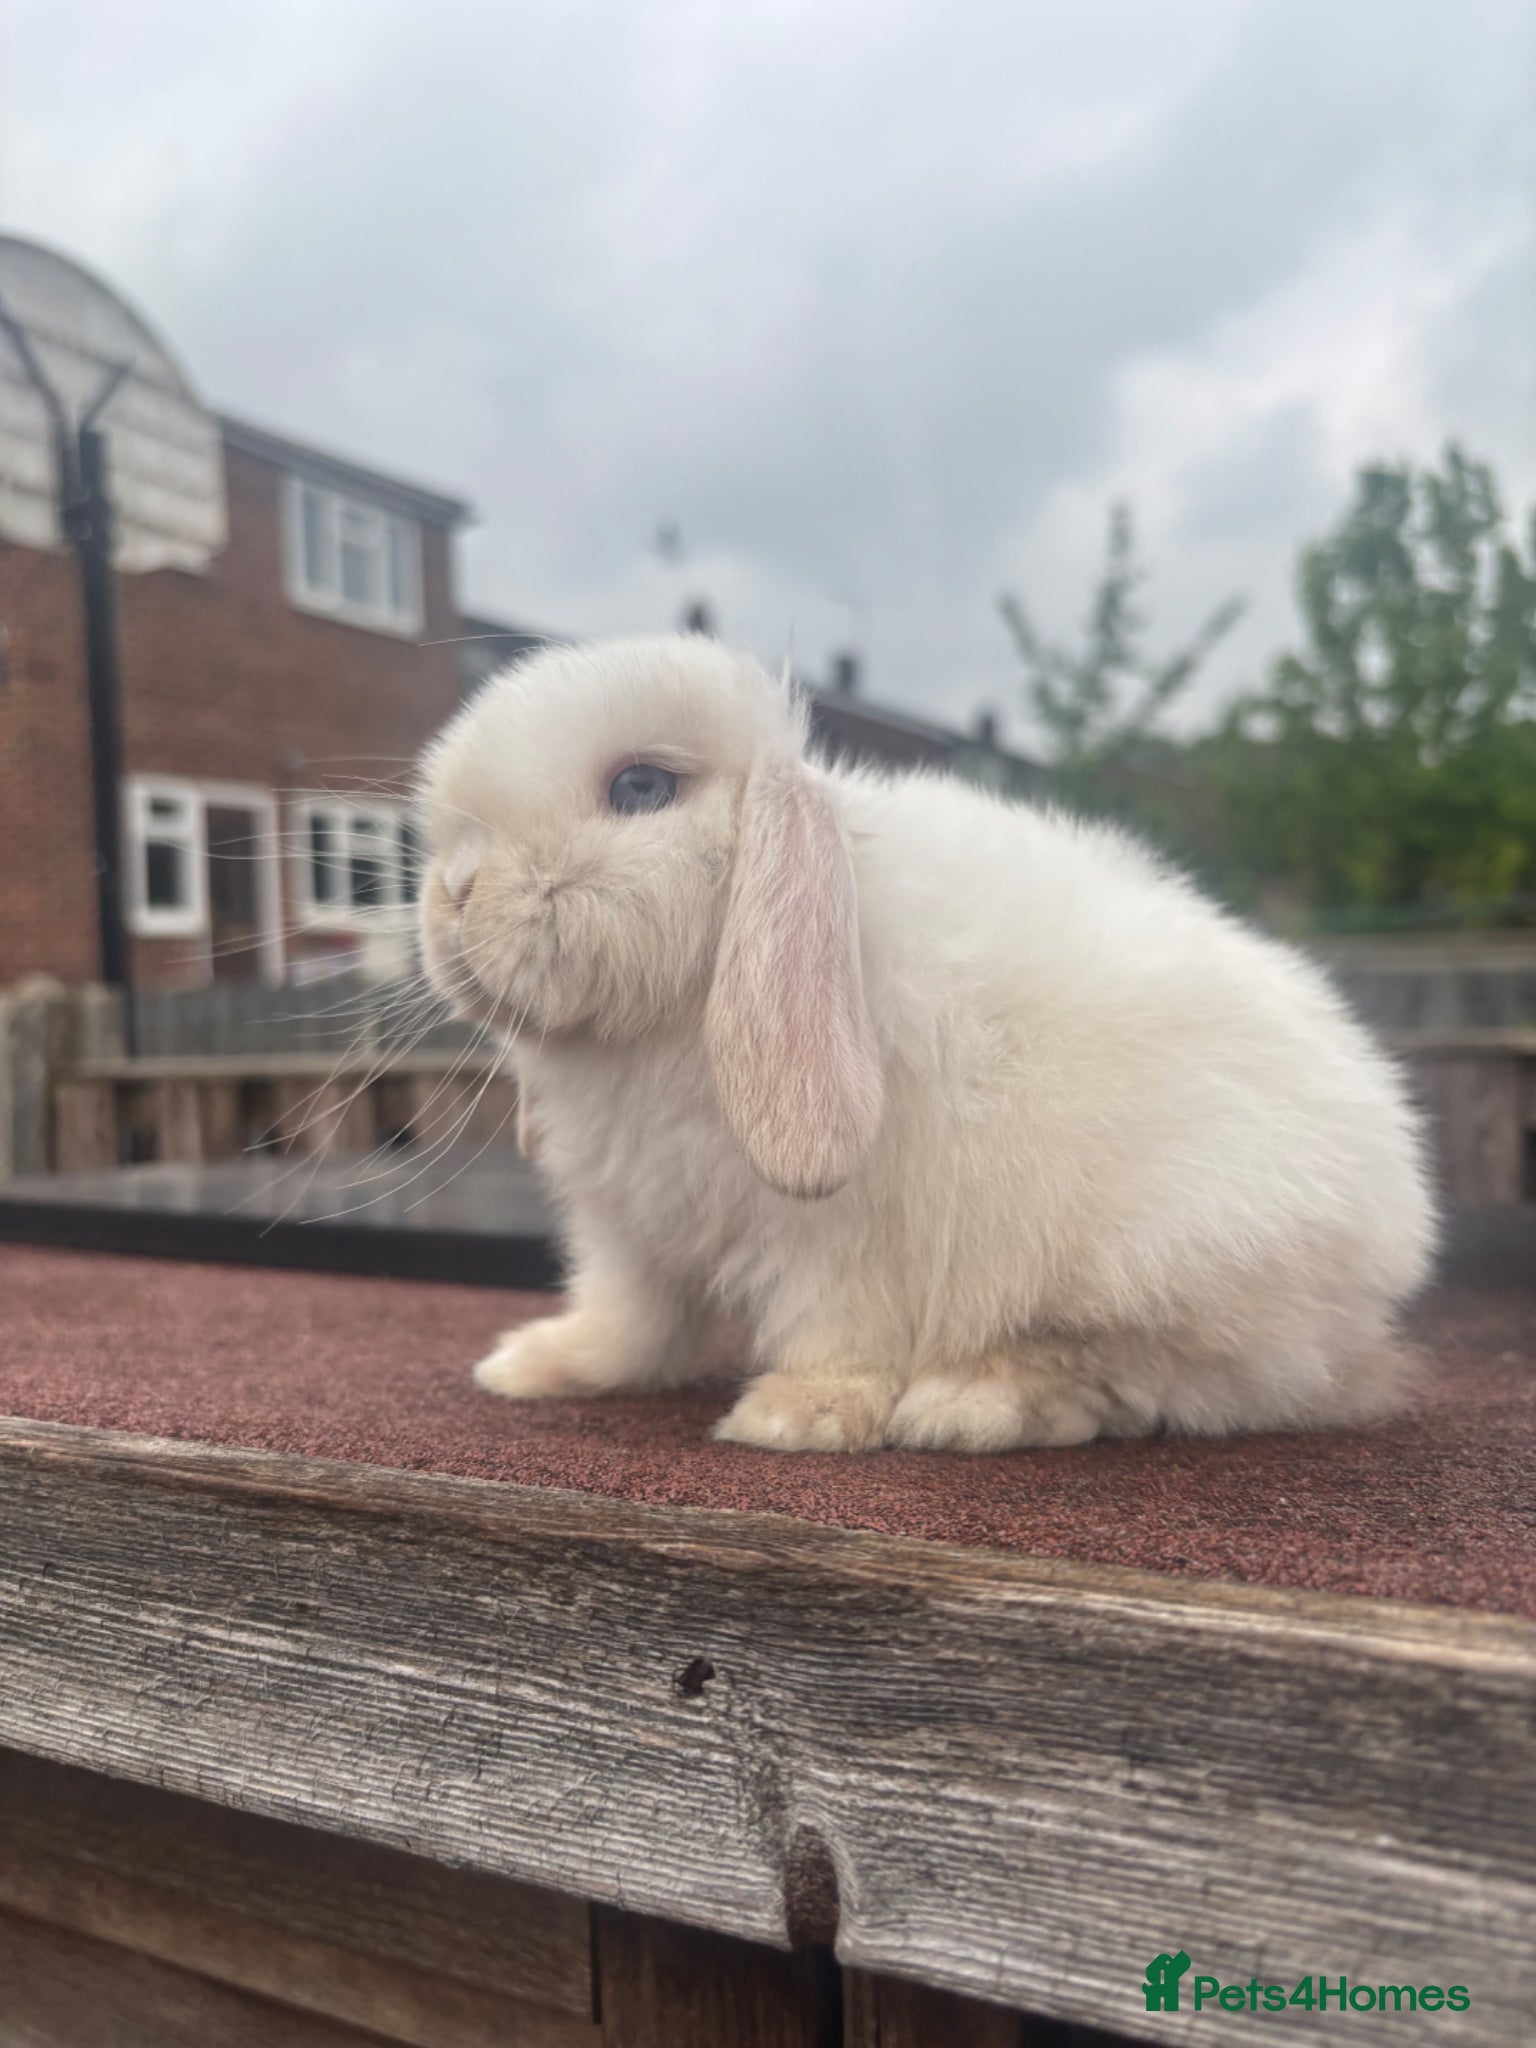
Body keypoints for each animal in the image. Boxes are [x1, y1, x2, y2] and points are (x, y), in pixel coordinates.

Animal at [416, 633, 1436, 1453]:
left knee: (1161, 1379)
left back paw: (975, 1404)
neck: (669, 1019)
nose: (453, 892)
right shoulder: (628, 1230)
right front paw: (537, 1365)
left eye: (640, 787)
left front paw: (798, 1418)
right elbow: (632, 1320)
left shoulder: (848, 1240)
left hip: (1174, 1256)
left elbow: (839, 1328)